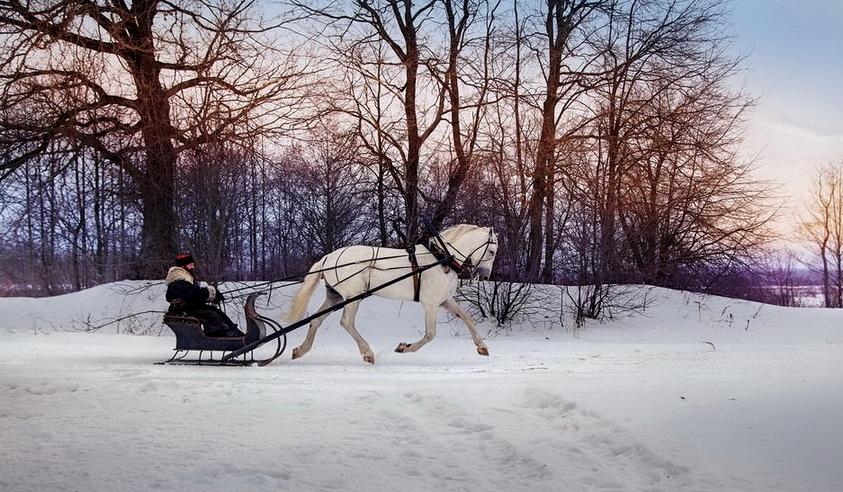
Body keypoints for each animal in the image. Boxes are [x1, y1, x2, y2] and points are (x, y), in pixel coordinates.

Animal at [286, 225, 498, 364]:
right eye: (492, 251)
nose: (485, 275)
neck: (441, 258)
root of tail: (328, 258)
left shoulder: (445, 300)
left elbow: (467, 318)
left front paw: (482, 346)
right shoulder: (430, 303)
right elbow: (430, 334)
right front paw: (404, 347)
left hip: (334, 296)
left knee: (316, 321)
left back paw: (300, 350)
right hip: (353, 297)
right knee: (346, 322)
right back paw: (367, 352)